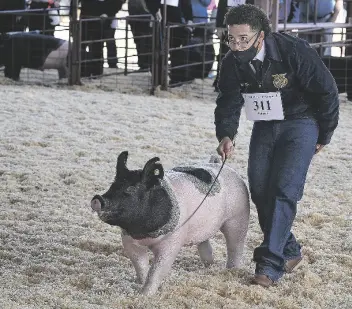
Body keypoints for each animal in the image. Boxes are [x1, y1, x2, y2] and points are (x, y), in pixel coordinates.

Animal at [91, 150, 250, 294]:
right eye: (112, 185)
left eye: (130, 189)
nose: (97, 198)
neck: (144, 233)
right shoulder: (129, 241)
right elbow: (140, 265)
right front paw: (140, 285)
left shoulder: (172, 241)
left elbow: (157, 270)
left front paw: (145, 294)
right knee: (205, 242)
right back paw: (208, 264)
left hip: (238, 217)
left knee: (236, 245)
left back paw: (231, 270)